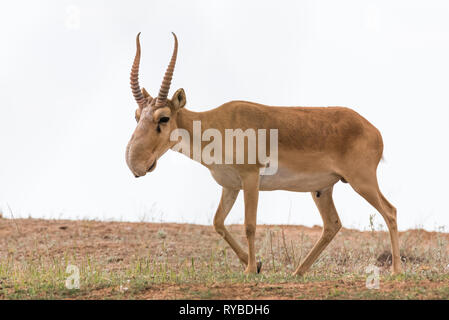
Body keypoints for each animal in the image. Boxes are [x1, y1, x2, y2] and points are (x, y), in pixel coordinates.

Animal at [124, 33, 400, 276]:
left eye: (164, 117)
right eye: (137, 116)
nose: (135, 164)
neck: (218, 124)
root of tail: (373, 130)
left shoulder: (250, 178)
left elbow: (249, 225)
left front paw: (249, 270)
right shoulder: (230, 185)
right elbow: (218, 222)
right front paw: (255, 265)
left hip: (362, 182)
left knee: (390, 212)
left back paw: (396, 271)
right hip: (322, 189)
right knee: (332, 224)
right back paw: (298, 272)